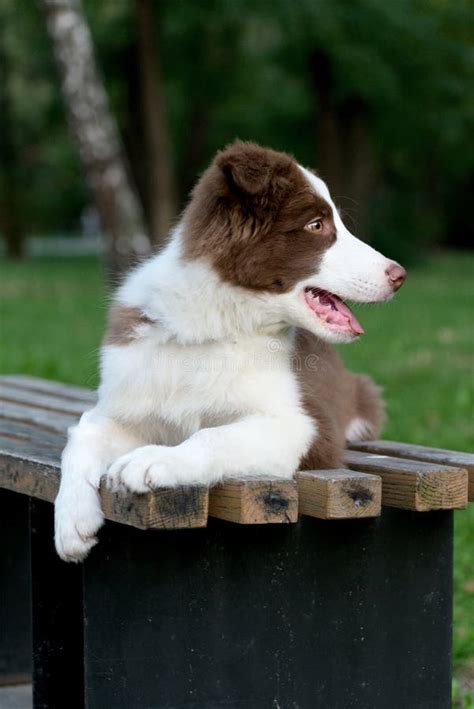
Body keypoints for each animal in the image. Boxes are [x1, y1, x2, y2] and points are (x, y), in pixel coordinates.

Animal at [54, 140, 404, 560]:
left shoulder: (304, 426)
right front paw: (72, 522)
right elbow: (82, 433)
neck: (217, 323)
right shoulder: (126, 400)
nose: (399, 275)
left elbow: (212, 435)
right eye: (316, 225)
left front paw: (151, 459)